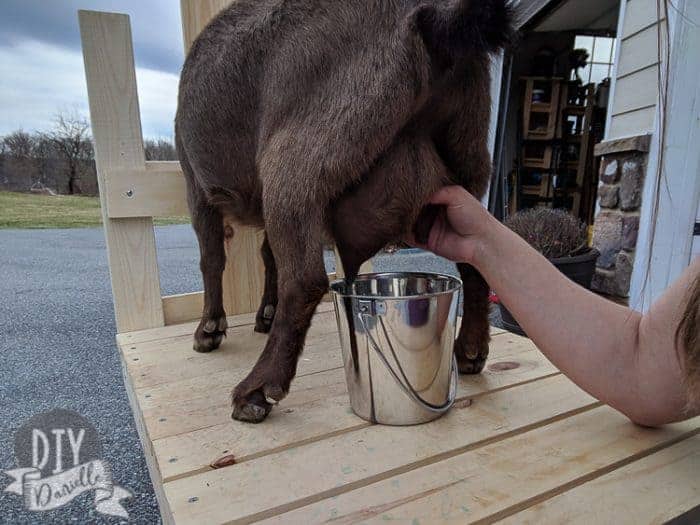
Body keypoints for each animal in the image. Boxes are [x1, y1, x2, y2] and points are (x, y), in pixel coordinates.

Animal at [175, 0, 516, 422]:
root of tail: (438, 21)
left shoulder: (196, 184)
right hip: (468, 163)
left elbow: (212, 259)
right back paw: (470, 349)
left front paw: (210, 329)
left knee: (304, 280)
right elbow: (268, 256)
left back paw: (257, 389)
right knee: (474, 260)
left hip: (294, 161)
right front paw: (264, 313)